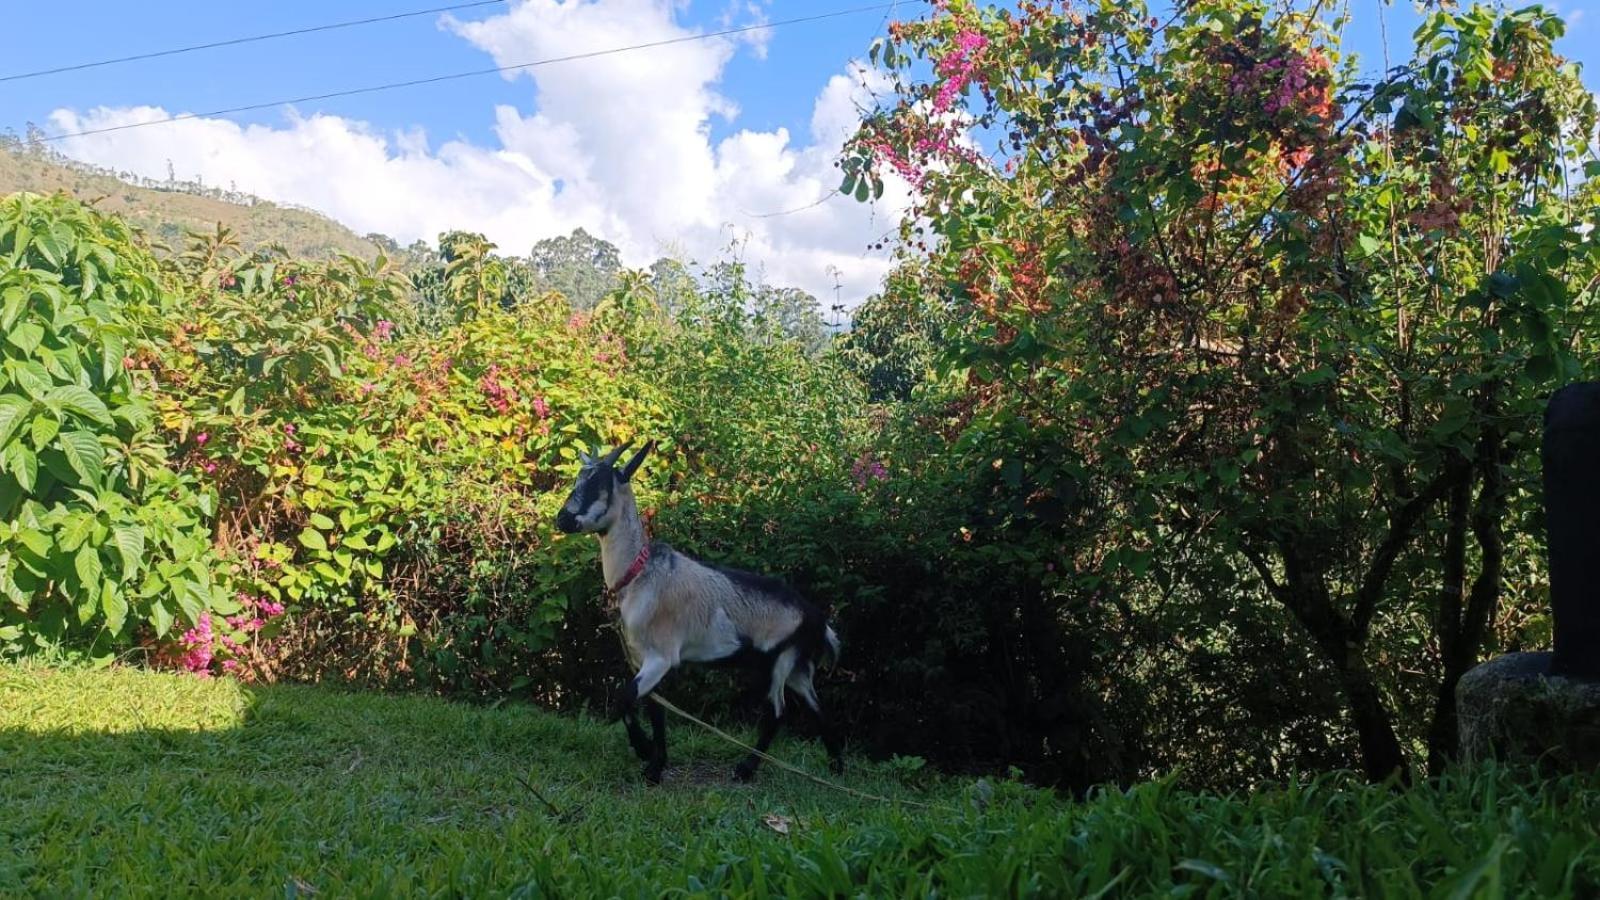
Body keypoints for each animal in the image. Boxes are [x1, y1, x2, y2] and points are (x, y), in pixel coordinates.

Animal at [553, 438, 844, 781]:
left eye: (599, 484)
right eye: (577, 481)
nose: (562, 520)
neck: (639, 573)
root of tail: (818, 620)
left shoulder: (661, 655)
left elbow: (625, 698)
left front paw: (644, 751)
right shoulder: (644, 657)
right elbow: (655, 709)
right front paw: (655, 766)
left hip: (780, 659)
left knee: (776, 712)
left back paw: (745, 770)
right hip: (797, 665)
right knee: (817, 708)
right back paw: (836, 767)